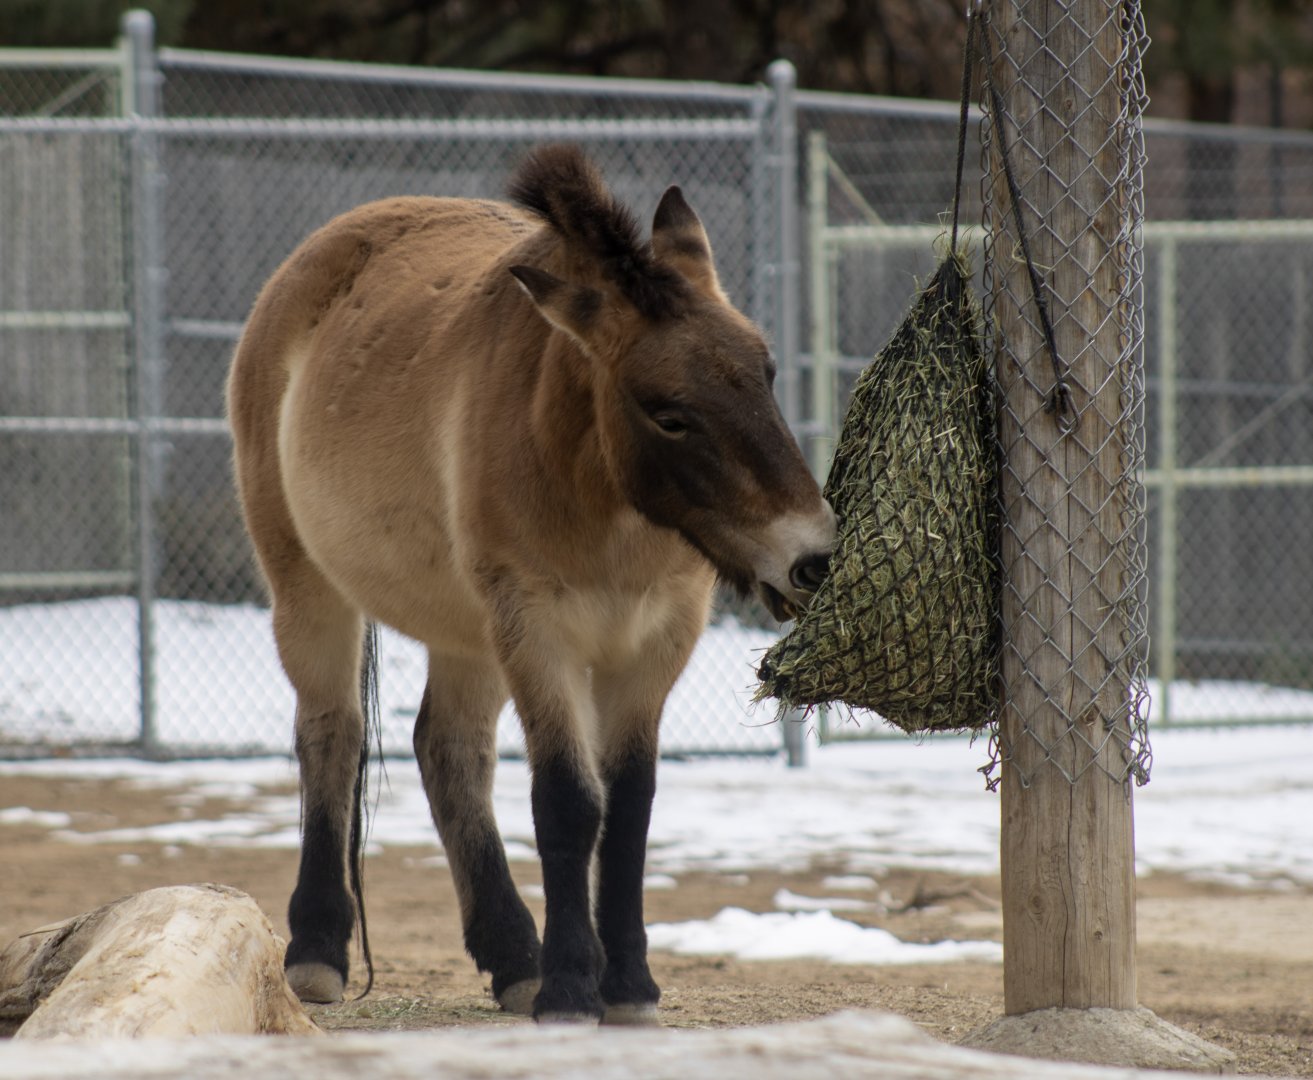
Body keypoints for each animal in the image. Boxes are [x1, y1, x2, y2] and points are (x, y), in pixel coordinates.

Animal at [226, 144, 836, 1024]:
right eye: (668, 413)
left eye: (766, 374)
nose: (809, 558)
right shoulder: (537, 632)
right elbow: (569, 803)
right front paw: (574, 988)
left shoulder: (656, 644)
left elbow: (630, 806)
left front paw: (628, 986)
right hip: (310, 592)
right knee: (331, 738)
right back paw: (318, 951)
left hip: (465, 632)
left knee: (447, 751)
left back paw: (513, 956)